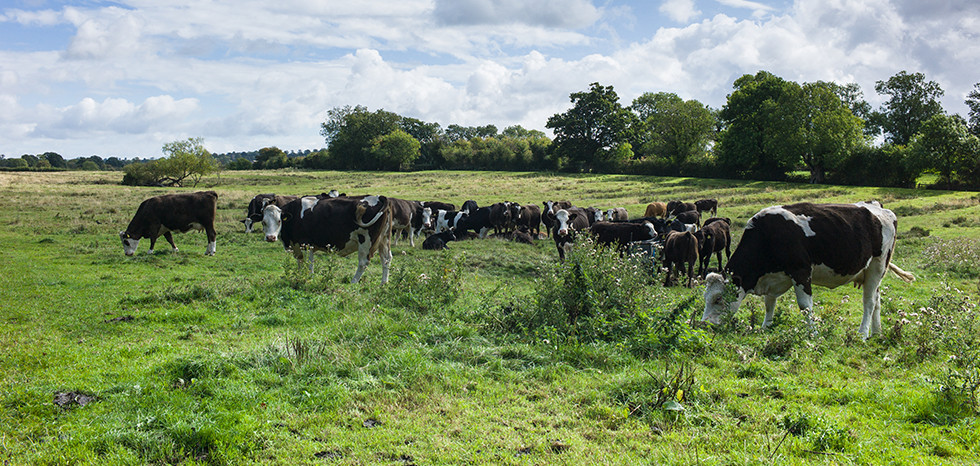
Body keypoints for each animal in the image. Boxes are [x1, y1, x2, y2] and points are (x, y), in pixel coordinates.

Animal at [266, 194, 396, 282]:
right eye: (264, 221)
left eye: (279, 221)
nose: (270, 237)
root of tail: (379, 197)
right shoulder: (297, 246)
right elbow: (300, 263)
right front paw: (300, 276)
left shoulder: (306, 244)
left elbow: (309, 264)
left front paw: (309, 279)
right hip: (384, 239)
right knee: (386, 259)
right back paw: (383, 283)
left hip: (366, 241)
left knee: (363, 262)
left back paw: (353, 282)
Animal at [700, 200, 916, 338]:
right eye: (705, 297)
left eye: (718, 298)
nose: (705, 325)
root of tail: (879, 208)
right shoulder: (773, 277)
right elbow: (769, 304)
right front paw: (765, 327)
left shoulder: (801, 271)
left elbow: (805, 307)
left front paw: (812, 334)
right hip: (872, 272)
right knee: (877, 301)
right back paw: (877, 333)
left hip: (877, 266)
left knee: (869, 302)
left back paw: (862, 334)